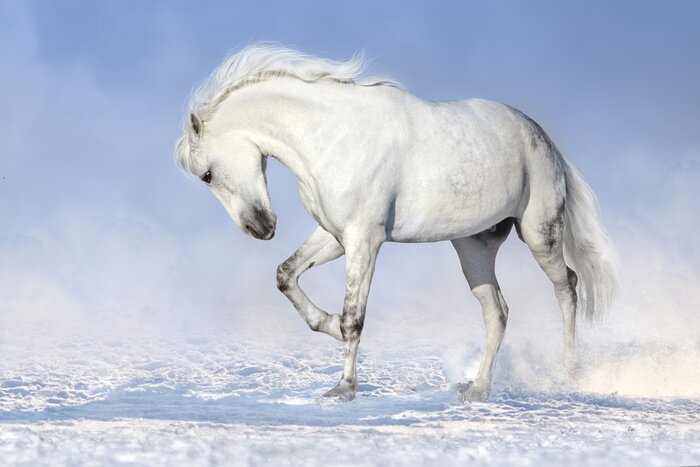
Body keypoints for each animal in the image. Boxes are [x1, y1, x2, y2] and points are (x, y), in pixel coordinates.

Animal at [176, 44, 619, 402]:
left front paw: (343, 389)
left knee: (567, 287)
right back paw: (478, 389)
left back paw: (569, 373)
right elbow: (286, 275)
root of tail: (543, 138)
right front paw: (327, 325)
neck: (331, 136)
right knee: (498, 312)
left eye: (207, 175)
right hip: (473, 249)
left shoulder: (364, 240)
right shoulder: (336, 236)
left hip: (540, 235)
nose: (260, 227)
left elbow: (354, 316)